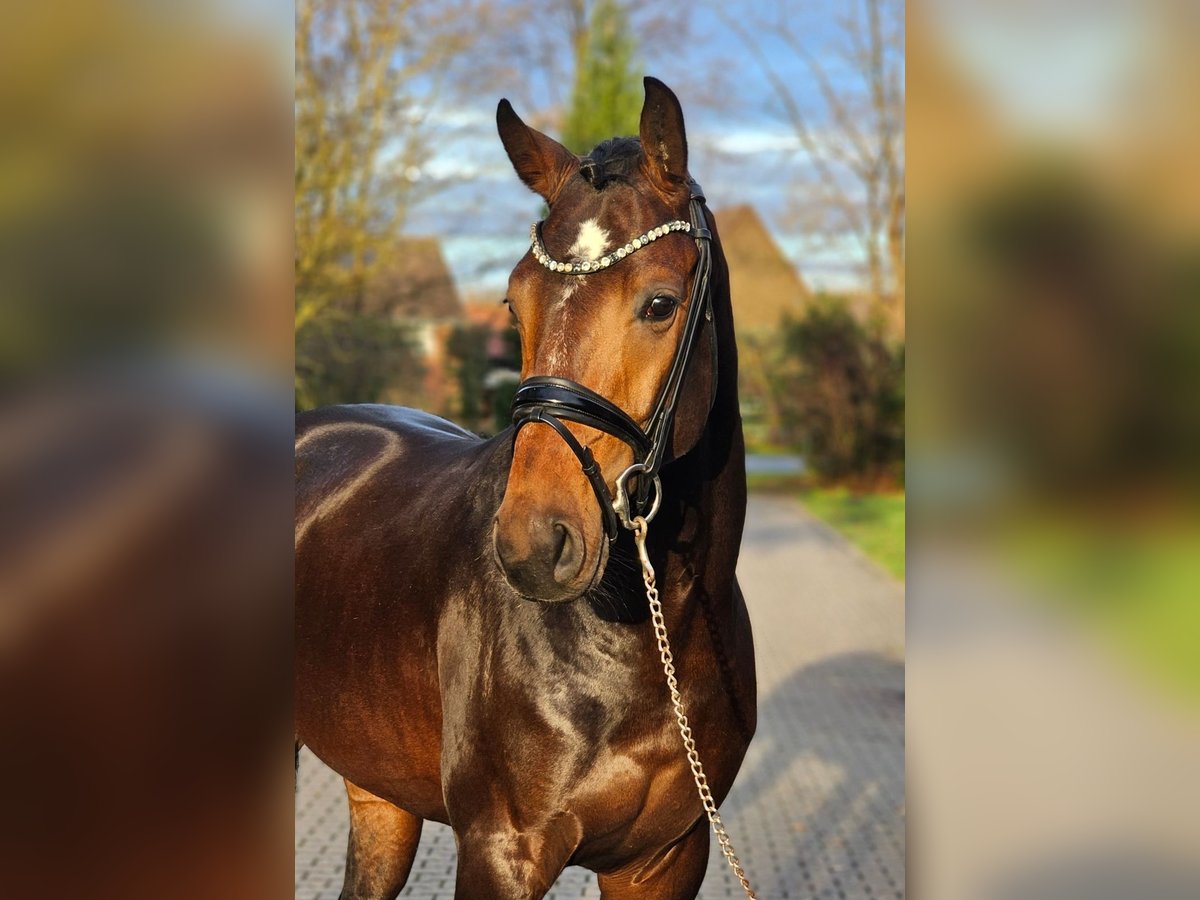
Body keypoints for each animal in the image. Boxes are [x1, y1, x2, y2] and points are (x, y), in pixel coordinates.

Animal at [295, 79, 753, 900]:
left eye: (660, 304)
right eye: (514, 301)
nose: (535, 543)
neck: (647, 631)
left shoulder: (668, 856)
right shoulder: (500, 852)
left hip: (377, 793)